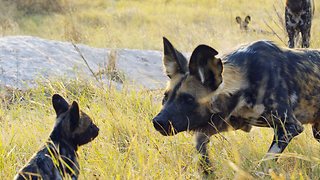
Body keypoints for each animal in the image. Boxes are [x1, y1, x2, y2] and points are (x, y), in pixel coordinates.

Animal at [151, 37, 320, 174]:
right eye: (165, 97)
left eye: (188, 99)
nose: (158, 122)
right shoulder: (226, 122)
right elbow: (200, 146)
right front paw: (208, 172)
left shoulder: (289, 126)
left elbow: (265, 162)